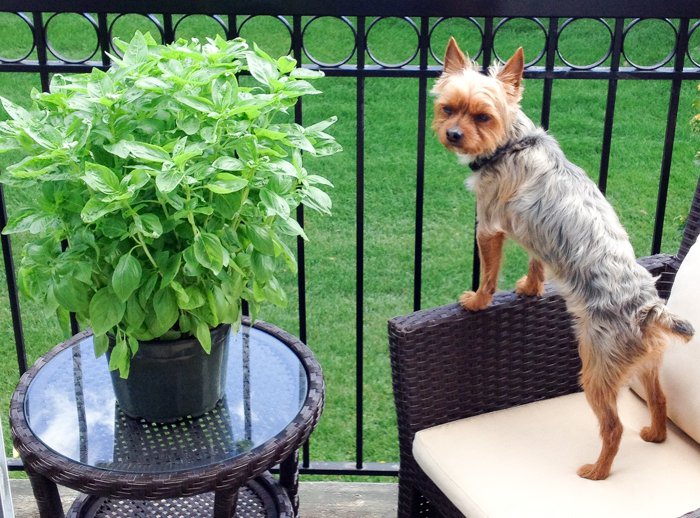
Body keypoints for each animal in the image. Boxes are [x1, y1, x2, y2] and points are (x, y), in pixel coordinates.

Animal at [432, 37, 696, 484]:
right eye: (448, 108)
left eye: (482, 117)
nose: (452, 134)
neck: (511, 141)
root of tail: (649, 309)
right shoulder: (535, 237)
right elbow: (537, 262)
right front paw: (530, 288)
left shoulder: (488, 226)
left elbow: (489, 272)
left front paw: (478, 301)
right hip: (645, 363)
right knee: (659, 400)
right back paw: (655, 434)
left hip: (597, 369)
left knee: (613, 426)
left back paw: (597, 472)